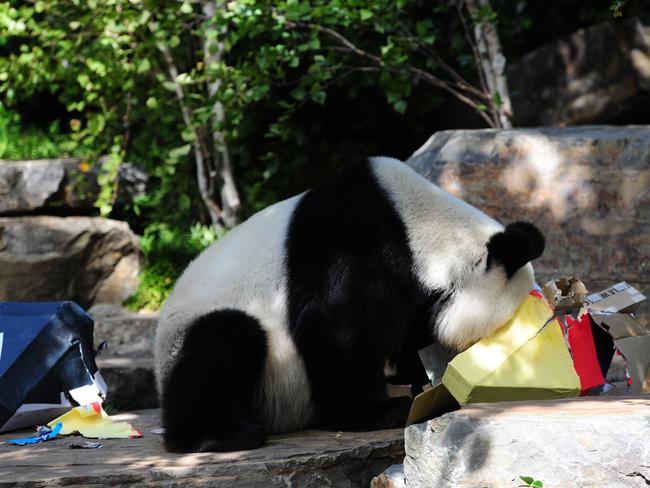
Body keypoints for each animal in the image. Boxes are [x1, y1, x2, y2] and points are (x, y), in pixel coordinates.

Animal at [154, 156, 544, 454]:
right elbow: (337, 333)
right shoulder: (355, 252)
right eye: (505, 332)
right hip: (222, 356)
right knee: (223, 341)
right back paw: (217, 436)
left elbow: (407, 334)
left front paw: (412, 378)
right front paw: (382, 410)